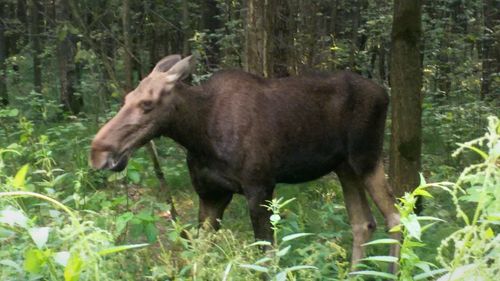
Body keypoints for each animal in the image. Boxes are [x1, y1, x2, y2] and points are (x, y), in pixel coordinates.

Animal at [90, 54, 400, 270]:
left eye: (147, 104)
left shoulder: (260, 188)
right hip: (344, 167)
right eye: (127, 98)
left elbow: (268, 257)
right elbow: (199, 255)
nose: (98, 153)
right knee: (363, 223)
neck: (198, 135)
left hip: (367, 158)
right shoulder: (211, 194)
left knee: (394, 216)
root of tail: (386, 94)